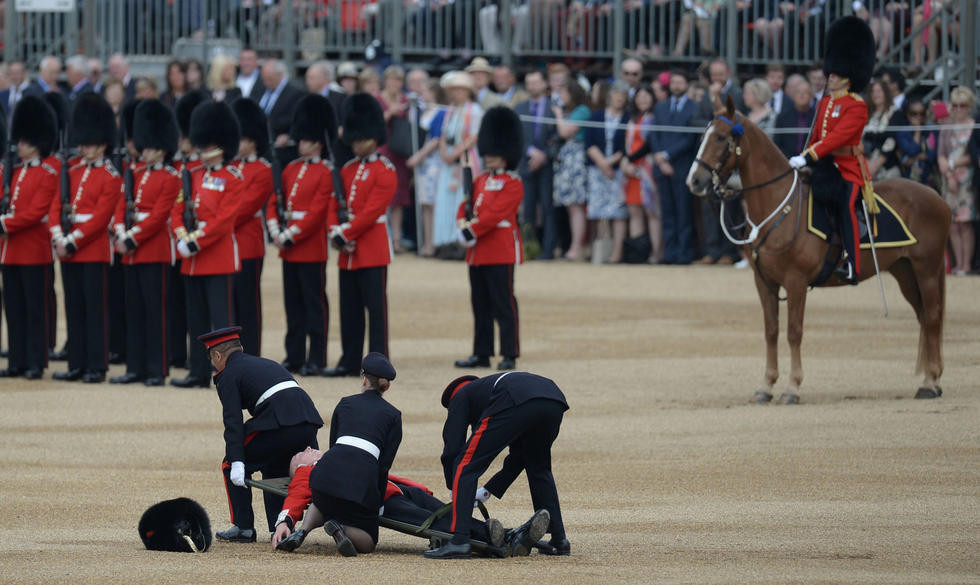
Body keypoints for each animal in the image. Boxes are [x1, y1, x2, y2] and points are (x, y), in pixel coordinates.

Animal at [684, 97, 944, 406]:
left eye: (722, 138)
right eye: (704, 136)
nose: (694, 181)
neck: (778, 208)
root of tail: (937, 196)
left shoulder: (796, 281)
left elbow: (794, 332)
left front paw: (792, 387)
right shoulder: (765, 282)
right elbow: (771, 331)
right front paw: (766, 386)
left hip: (927, 270)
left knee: (932, 317)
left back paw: (930, 382)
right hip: (904, 271)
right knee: (924, 318)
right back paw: (931, 380)